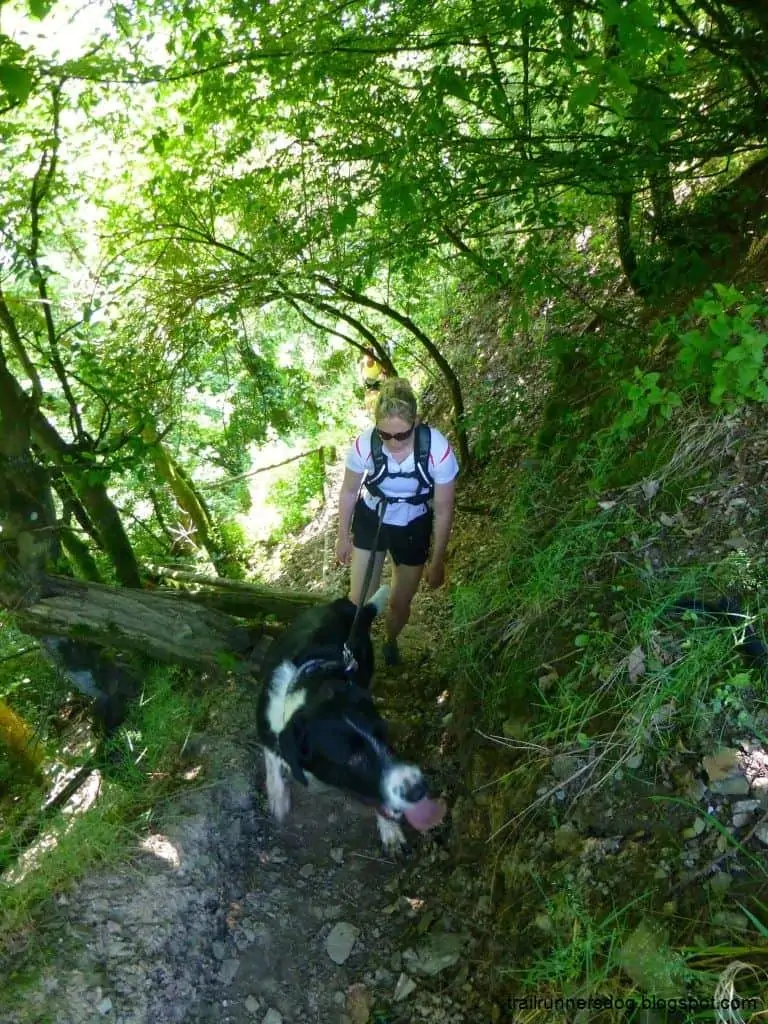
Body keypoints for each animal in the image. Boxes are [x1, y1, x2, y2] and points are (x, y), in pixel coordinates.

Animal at [257, 589, 444, 851]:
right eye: (352, 758)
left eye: (383, 733)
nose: (418, 789)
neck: (309, 689)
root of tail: (345, 605)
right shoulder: (267, 726)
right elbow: (272, 759)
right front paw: (277, 796)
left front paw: (390, 829)